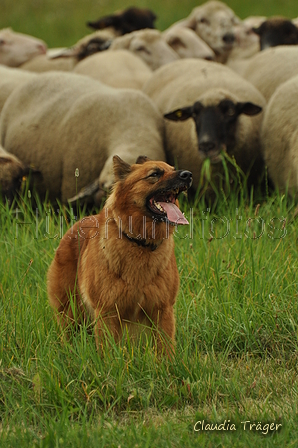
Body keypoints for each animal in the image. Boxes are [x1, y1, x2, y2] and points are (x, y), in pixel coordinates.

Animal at [45, 156, 192, 356]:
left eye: (172, 168)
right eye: (154, 174)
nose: (188, 175)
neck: (139, 243)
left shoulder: (162, 309)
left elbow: (165, 348)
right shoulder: (108, 312)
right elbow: (107, 352)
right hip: (70, 311)